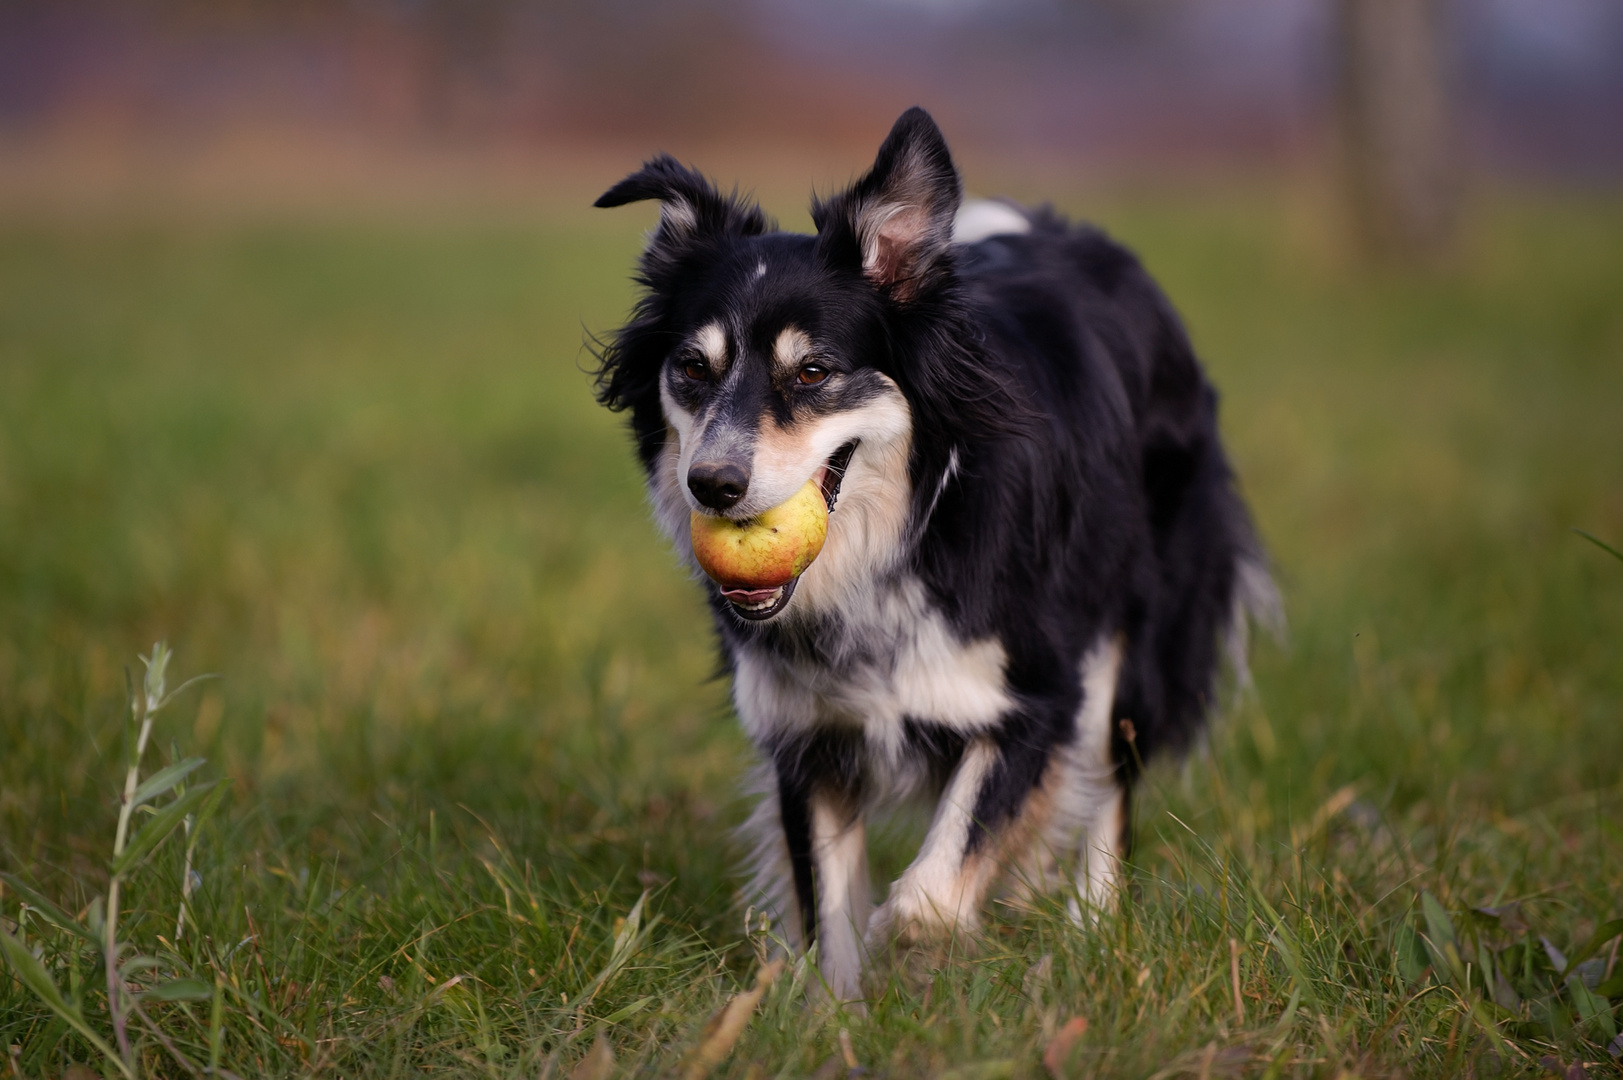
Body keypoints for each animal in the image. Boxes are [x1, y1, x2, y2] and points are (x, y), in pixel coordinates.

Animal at [590, 105, 1272, 1000]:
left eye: (813, 371)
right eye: (691, 368)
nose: (712, 485)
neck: (896, 537)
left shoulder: (1033, 693)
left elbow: (929, 897)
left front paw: (916, 956)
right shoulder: (806, 732)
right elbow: (829, 911)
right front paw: (840, 1012)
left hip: (1141, 632)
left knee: (1108, 782)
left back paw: (1087, 930)